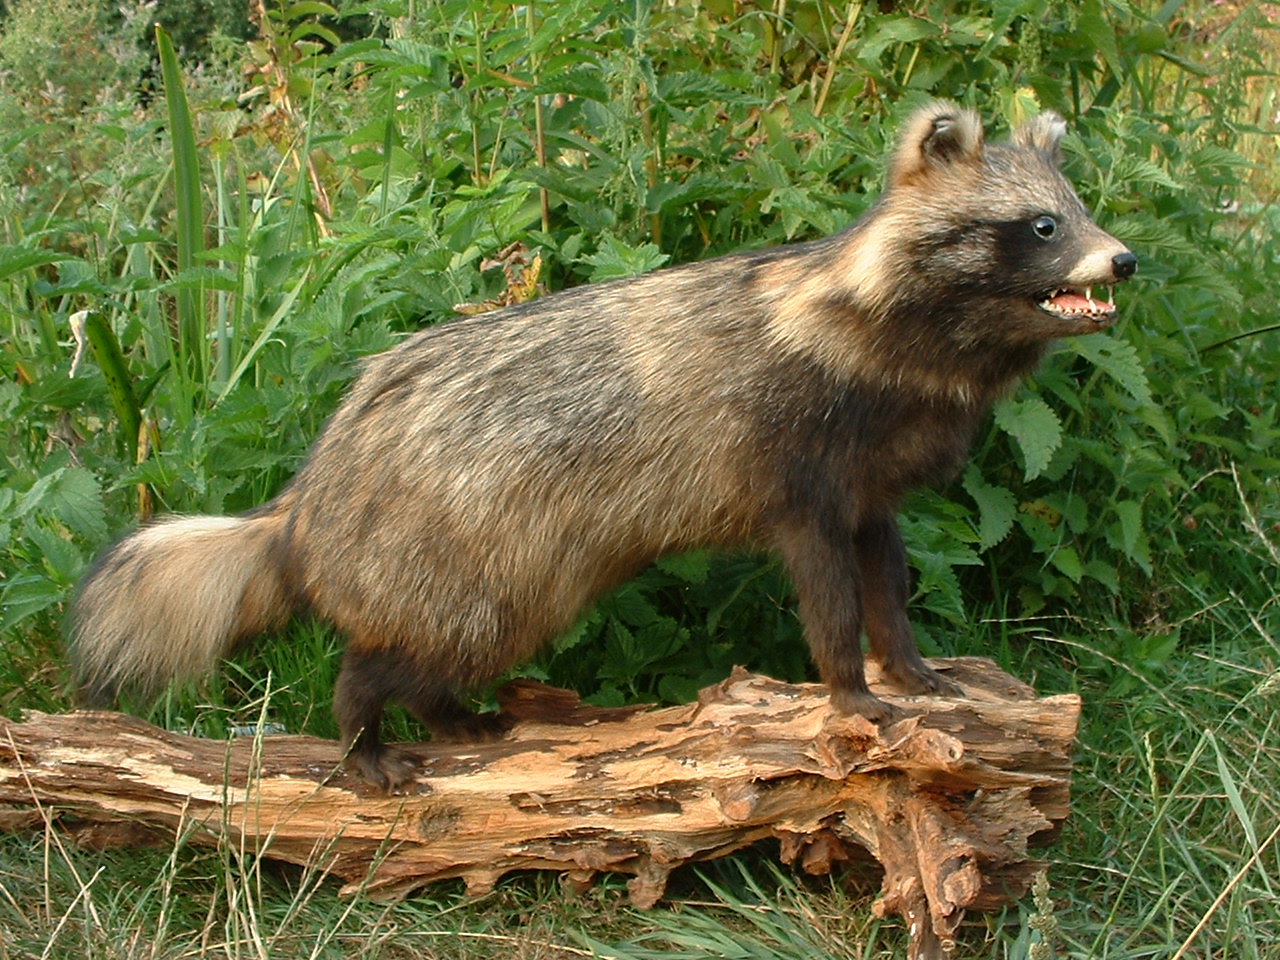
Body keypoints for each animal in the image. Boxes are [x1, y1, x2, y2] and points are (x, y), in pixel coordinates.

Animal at [70, 101, 1136, 793]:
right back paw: (362, 737)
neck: (910, 350)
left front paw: (910, 669)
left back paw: (456, 718)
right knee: (391, 656)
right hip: (476, 560)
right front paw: (849, 692)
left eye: (1080, 209)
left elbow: (888, 577)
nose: (1123, 259)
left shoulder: (872, 476)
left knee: (435, 662)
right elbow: (828, 592)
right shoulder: (798, 462)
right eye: (1042, 225)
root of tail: (309, 497)